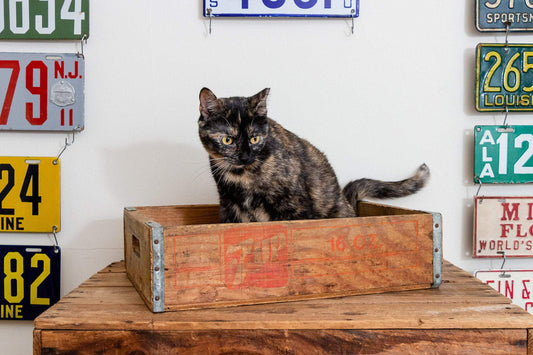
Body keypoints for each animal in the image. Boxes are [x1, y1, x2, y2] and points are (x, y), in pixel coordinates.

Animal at [198, 87, 428, 224]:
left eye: (254, 139)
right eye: (228, 140)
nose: (245, 156)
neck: (243, 177)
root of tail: (346, 201)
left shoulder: (295, 206)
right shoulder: (229, 206)